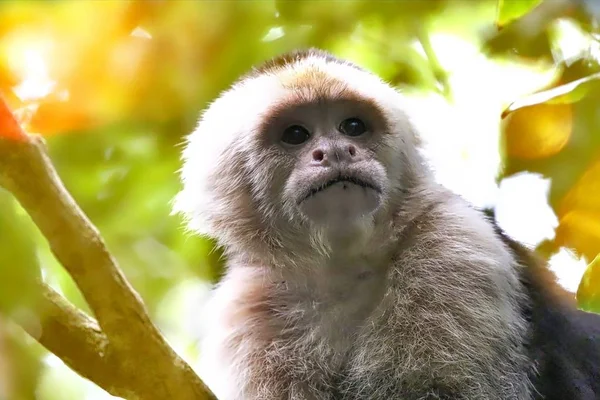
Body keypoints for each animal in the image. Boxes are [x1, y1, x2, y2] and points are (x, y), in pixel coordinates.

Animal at [173, 48, 600, 398]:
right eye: (295, 134)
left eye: (352, 127)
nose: (336, 151)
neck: (342, 271)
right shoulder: (247, 310)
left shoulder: (454, 246)